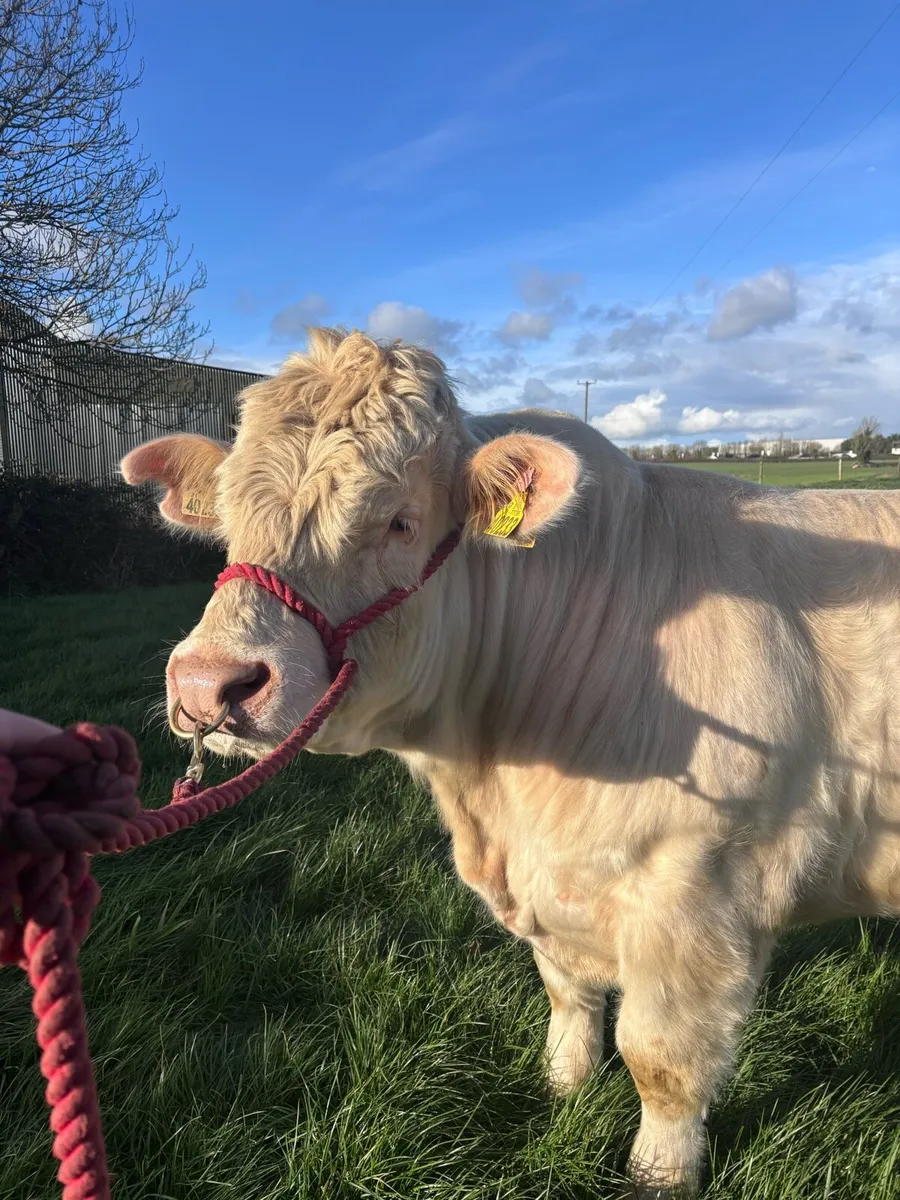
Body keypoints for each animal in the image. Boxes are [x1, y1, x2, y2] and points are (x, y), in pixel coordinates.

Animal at [121, 327, 900, 1197]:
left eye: (400, 522)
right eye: (227, 517)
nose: (207, 682)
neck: (498, 788)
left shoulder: (699, 894)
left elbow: (660, 1060)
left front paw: (657, 1174)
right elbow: (567, 997)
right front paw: (562, 1090)